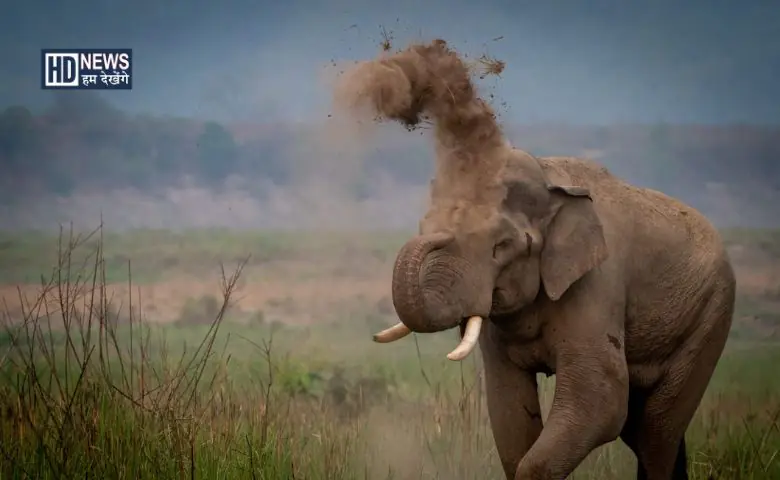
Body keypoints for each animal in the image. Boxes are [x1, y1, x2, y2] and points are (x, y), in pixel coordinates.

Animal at [372, 149, 736, 479]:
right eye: (423, 224)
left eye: (501, 246)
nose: (434, 236)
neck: (549, 181)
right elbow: (509, 407)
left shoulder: (596, 283)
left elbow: (601, 398)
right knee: (643, 430)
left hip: (711, 314)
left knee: (656, 431)